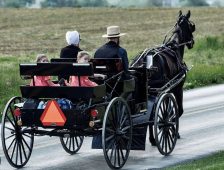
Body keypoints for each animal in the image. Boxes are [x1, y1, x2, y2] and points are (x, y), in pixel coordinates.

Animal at [130, 10, 195, 143]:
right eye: (191, 27)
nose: (192, 42)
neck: (174, 47)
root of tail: (142, 61)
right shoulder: (177, 87)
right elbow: (176, 111)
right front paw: (175, 132)